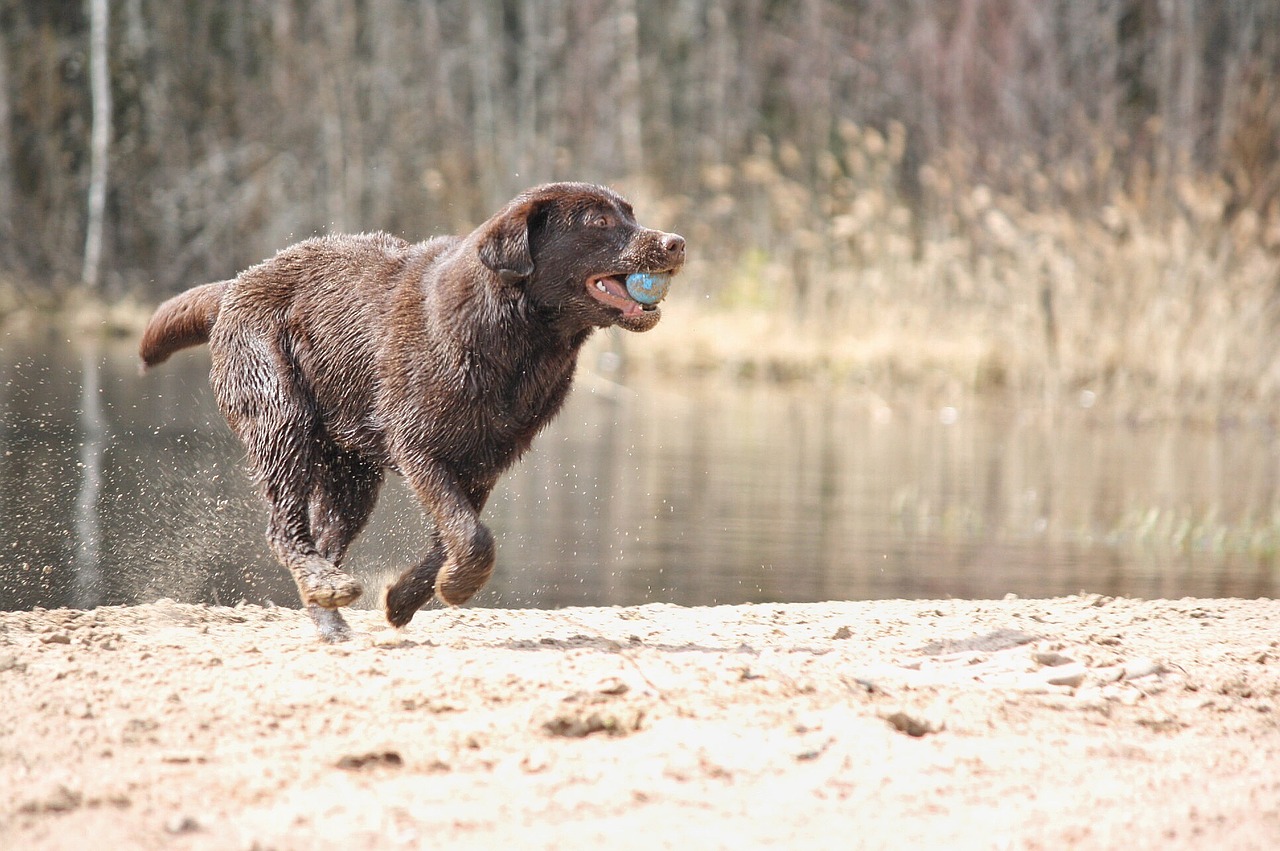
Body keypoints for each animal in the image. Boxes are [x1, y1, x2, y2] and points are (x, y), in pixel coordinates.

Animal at [137, 184, 691, 637]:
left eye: (631, 214)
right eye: (598, 221)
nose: (676, 242)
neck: (515, 339)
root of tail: (235, 284)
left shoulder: (484, 463)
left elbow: (455, 537)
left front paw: (404, 599)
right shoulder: (419, 448)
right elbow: (473, 537)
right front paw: (458, 587)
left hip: (352, 475)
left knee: (324, 537)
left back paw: (329, 615)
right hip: (281, 415)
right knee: (283, 527)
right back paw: (326, 587)